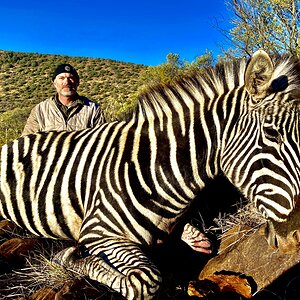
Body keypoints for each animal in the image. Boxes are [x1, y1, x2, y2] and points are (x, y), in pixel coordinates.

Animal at [0, 50, 300, 298]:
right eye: (272, 134)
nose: (295, 237)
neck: (155, 167)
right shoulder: (98, 232)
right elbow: (143, 282)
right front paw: (71, 259)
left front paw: (191, 235)